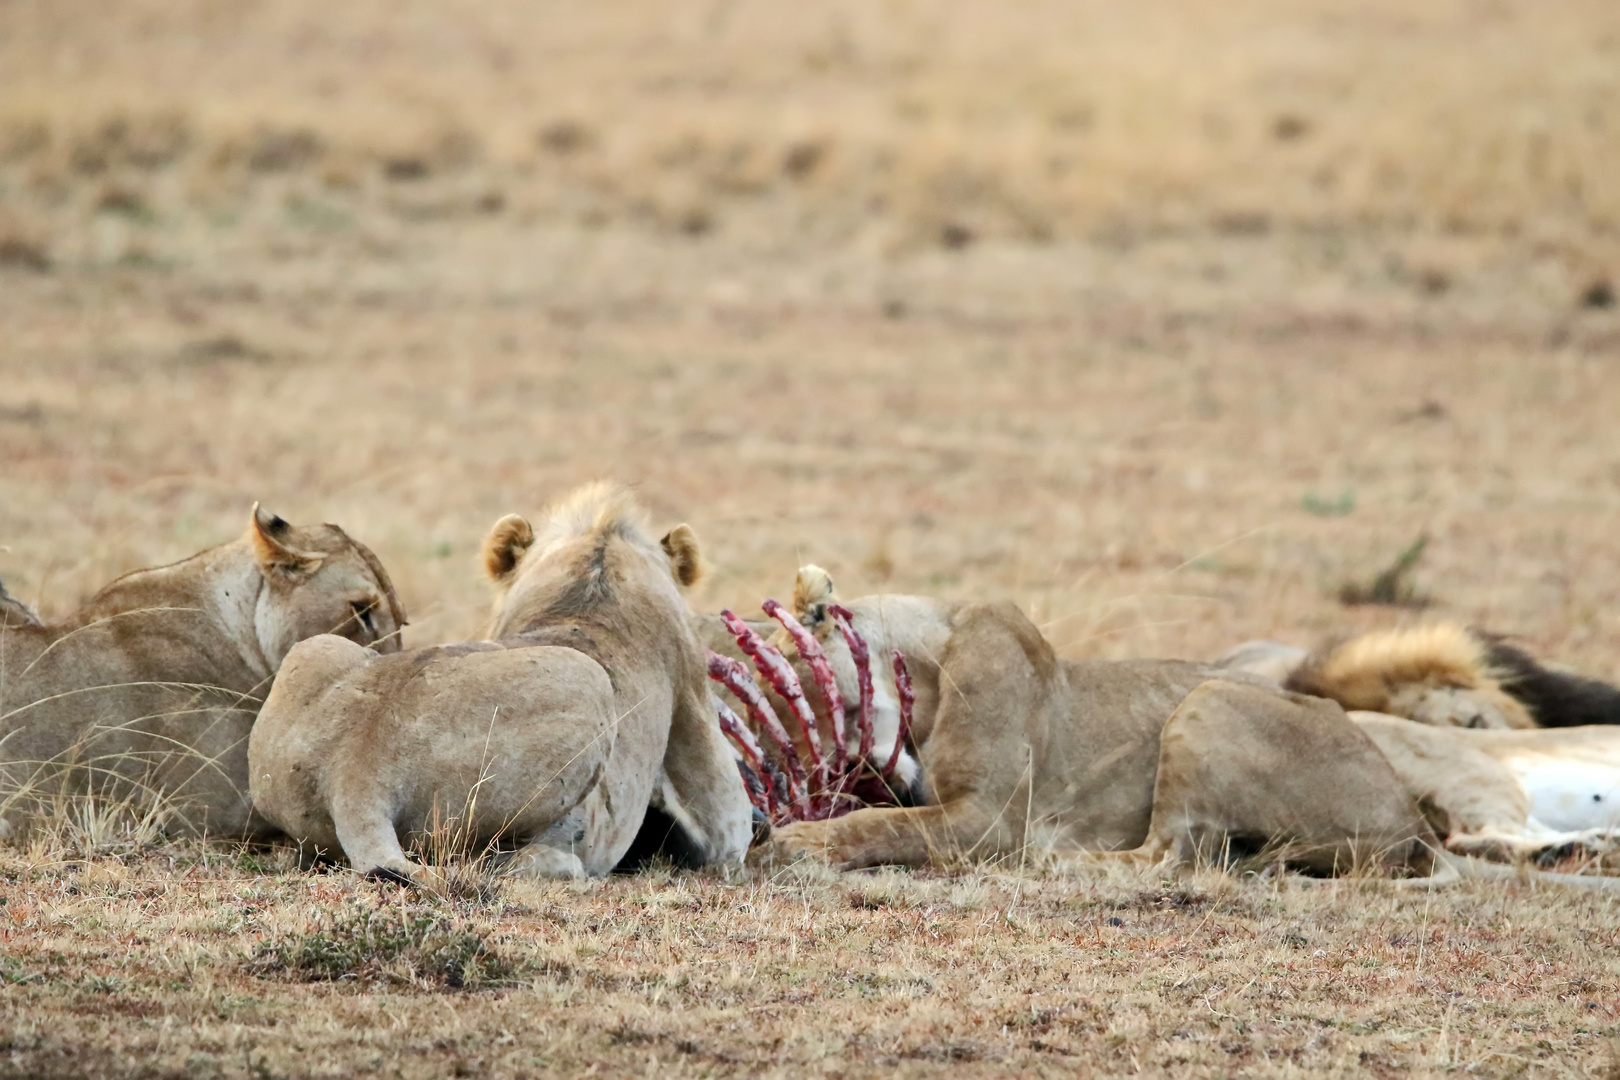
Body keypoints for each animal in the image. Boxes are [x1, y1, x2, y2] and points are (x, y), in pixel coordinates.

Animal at [249, 485, 754, 880]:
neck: (596, 565)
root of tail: (357, 775)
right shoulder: (707, 756)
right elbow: (730, 826)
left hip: (316, 652)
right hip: (587, 682)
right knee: (491, 862)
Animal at [741, 566, 1438, 880]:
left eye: (777, 694)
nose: (762, 792)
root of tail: (1410, 817)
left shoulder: (990, 819)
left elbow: (881, 825)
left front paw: (797, 841)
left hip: (1210, 697)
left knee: (1166, 855)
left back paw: (1055, 858)